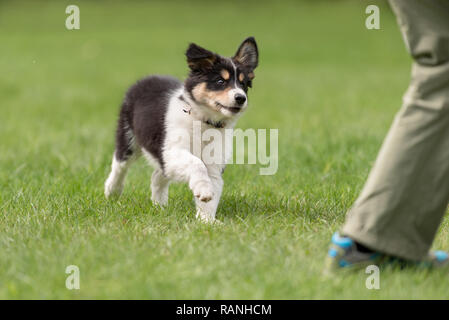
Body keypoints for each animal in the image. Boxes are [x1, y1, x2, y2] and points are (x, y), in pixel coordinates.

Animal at [104, 37, 258, 222]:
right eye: (220, 81)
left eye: (243, 84)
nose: (241, 98)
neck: (204, 121)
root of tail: (147, 79)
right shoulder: (172, 149)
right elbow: (196, 163)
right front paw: (204, 190)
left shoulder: (214, 162)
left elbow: (211, 193)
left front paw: (207, 221)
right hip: (128, 137)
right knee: (119, 165)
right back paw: (112, 191)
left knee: (158, 175)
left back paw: (159, 205)